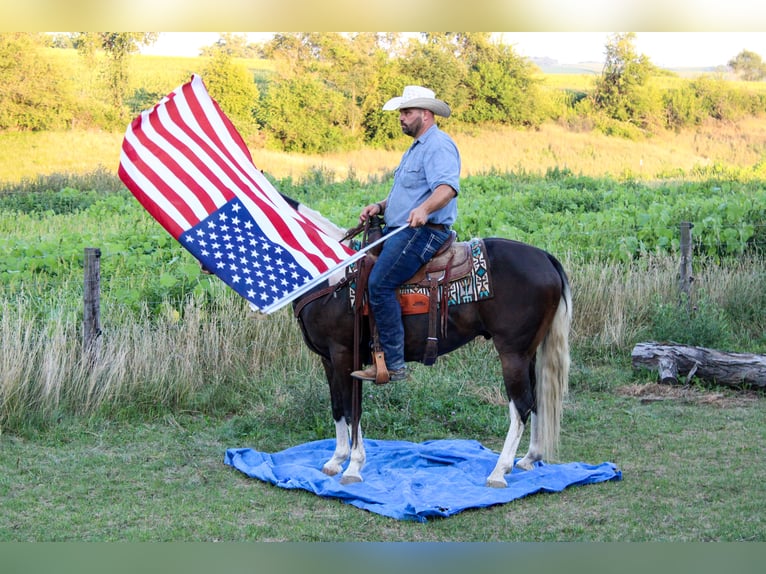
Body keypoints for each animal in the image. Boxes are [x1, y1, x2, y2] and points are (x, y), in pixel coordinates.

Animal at [284, 196, 572, 488]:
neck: (332, 276)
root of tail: (546, 258)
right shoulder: (329, 359)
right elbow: (338, 408)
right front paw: (336, 460)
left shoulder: (345, 354)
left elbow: (353, 410)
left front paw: (353, 466)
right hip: (528, 353)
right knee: (535, 401)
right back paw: (529, 458)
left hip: (512, 353)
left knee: (521, 406)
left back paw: (499, 471)